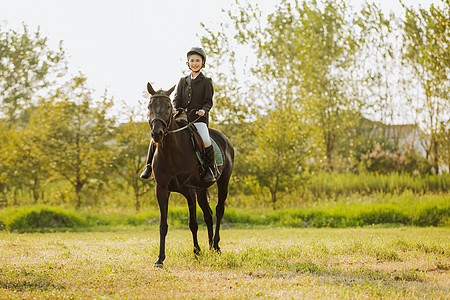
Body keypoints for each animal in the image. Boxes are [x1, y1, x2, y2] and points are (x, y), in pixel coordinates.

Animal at [147, 81, 234, 268]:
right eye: (150, 106)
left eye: (168, 106)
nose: (157, 134)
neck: (170, 152)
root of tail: (224, 139)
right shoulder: (162, 190)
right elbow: (163, 225)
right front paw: (160, 259)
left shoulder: (189, 191)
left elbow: (192, 223)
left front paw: (197, 252)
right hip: (201, 190)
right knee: (208, 215)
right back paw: (210, 246)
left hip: (223, 182)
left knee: (219, 210)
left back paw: (216, 246)